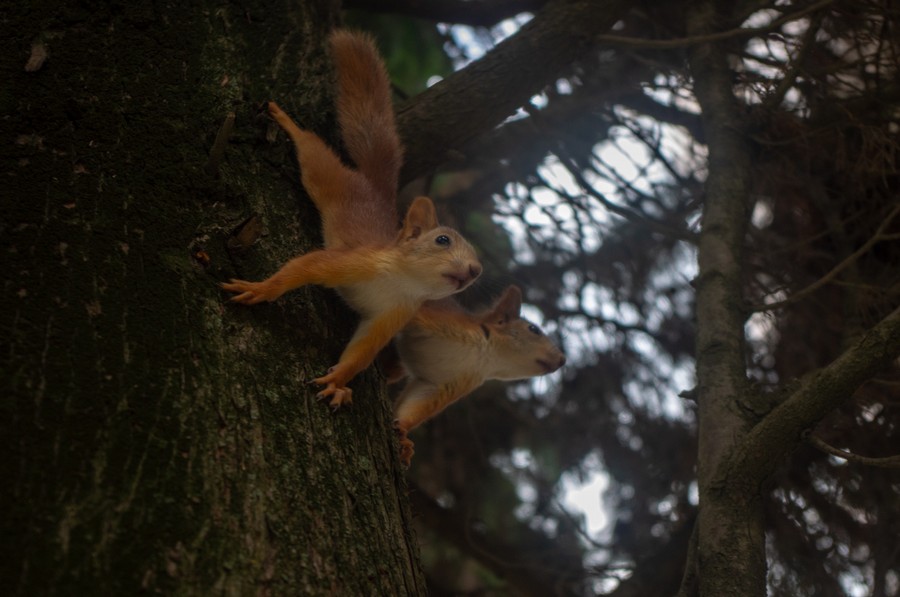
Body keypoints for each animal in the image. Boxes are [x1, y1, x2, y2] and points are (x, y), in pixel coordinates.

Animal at [221, 30, 482, 408]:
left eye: (480, 265)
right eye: (442, 240)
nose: (475, 271)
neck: (403, 282)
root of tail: (376, 190)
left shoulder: (393, 316)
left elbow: (362, 352)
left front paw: (337, 381)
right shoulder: (357, 260)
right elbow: (307, 266)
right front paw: (261, 288)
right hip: (331, 178)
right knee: (314, 152)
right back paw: (288, 123)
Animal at [386, 286, 564, 466]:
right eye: (533, 329)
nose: (562, 360)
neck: (487, 355)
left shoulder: (451, 381)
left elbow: (416, 403)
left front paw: (403, 434)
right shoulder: (435, 317)